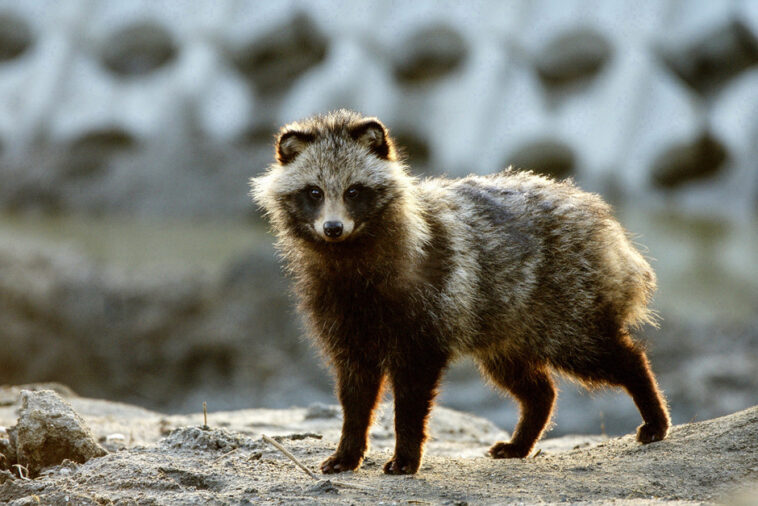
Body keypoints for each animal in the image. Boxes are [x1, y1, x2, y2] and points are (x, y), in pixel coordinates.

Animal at [254, 109, 672, 474]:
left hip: (565, 306)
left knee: (612, 355)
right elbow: (355, 396)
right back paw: (522, 439)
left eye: (354, 191)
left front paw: (405, 455)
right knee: (536, 388)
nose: (333, 228)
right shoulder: (344, 323)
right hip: (505, 328)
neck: (349, 258)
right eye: (314, 192)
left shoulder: (422, 320)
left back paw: (653, 411)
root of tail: (602, 221)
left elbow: (411, 401)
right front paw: (348, 450)